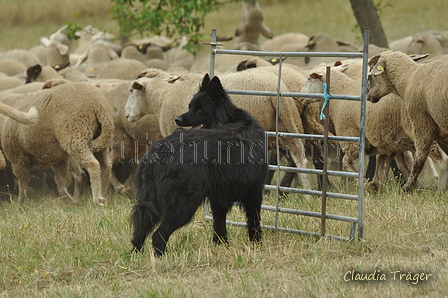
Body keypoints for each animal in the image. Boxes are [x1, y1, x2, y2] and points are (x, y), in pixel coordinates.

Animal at [124, 68, 316, 189]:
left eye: (132, 91)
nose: (126, 114)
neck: (162, 97)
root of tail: (276, 92)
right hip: (289, 124)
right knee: (301, 160)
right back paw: (307, 196)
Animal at [131, 73, 268, 255]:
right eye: (190, 107)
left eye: (199, 109)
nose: (177, 119)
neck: (229, 119)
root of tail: (159, 150)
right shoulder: (254, 192)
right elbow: (254, 223)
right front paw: (257, 245)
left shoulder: (219, 199)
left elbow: (219, 226)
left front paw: (221, 247)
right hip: (185, 204)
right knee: (158, 235)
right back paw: (161, 257)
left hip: (152, 201)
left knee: (141, 227)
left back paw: (136, 255)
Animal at [366, 51, 448, 191]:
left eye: (371, 75)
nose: (367, 95)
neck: (409, 78)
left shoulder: (422, 123)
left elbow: (420, 158)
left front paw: (408, 187)